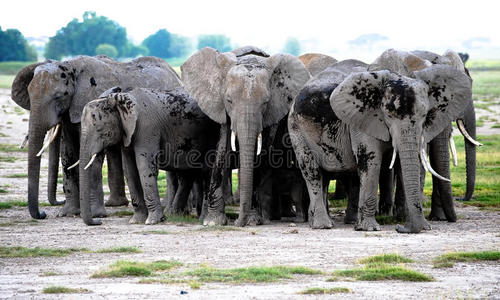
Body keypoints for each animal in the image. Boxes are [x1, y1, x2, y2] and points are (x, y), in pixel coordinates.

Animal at [10, 56, 182, 219]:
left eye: (59, 97)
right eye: (29, 95)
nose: (43, 214)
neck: (70, 65)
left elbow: (92, 156)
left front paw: (95, 215)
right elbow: (68, 153)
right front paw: (68, 213)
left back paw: (167, 207)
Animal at [78, 86, 219, 225]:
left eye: (99, 129)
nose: (99, 221)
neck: (118, 99)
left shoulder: (147, 129)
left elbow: (144, 167)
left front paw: (153, 221)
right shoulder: (127, 134)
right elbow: (130, 170)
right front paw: (136, 221)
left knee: (206, 171)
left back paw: (202, 219)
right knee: (188, 175)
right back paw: (176, 214)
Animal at [182, 45, 310, 226]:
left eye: (265, 102)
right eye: (229, 100)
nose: (236, 223)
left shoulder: (274, 110)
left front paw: (253, 220)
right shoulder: (220, 108)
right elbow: (221, 149)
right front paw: (214, 221)